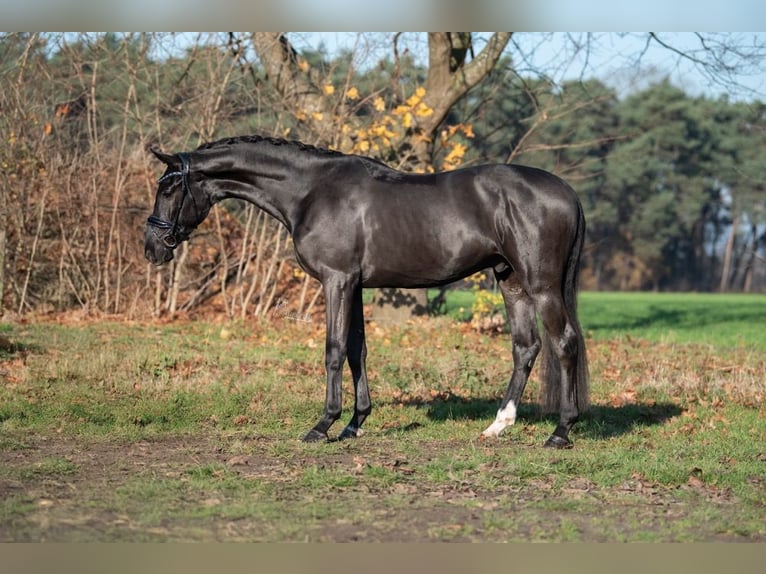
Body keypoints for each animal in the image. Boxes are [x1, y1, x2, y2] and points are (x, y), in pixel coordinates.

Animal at [144, 135, 589, 448]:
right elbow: (358, 349)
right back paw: (499, 425)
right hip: (510, 281)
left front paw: (322, 425)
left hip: (542, 286)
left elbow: (334, 349)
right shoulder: (355, 285)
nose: (152, 248)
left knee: (564, 343)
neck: (311, 191)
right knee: (526, 347)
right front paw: (353, 424)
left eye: (168, 189)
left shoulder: (337, 280)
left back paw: (560, 431)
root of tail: (567, 191)